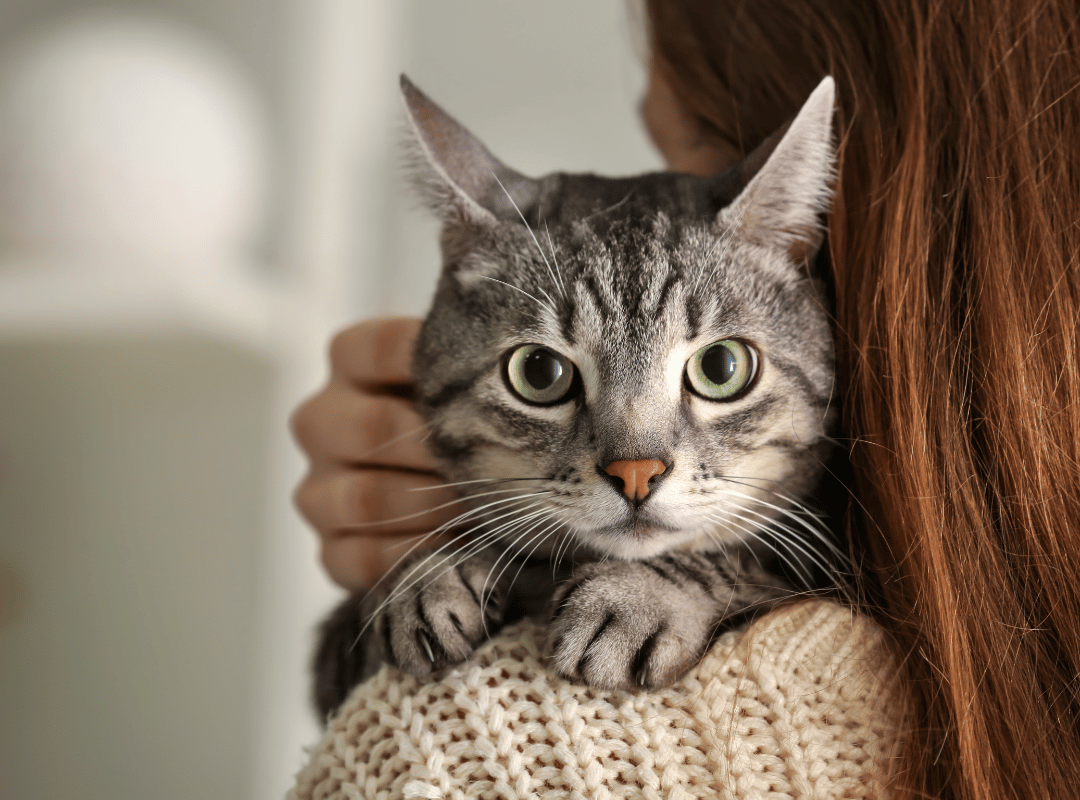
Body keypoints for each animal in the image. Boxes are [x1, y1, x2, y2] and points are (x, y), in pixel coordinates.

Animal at [308, 75, 838, 721]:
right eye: (540, 372)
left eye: (721, 367)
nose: (636, 473)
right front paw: (427, 574)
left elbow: (747, 557)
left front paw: (635, 597)